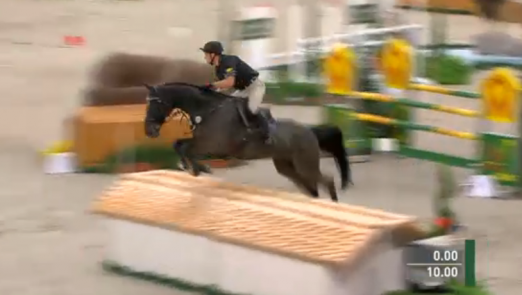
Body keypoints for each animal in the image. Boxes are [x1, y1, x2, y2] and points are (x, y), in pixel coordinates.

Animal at [143, 82, 338, 202]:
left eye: (156, 104)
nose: (149, 131)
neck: (207, 110)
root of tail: (310, 131)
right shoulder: (201, 142)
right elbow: (178, 145)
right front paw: (192, 168)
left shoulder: (213, 146)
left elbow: (185, 148)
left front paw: (198, 168)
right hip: (286, 166)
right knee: (311, 186)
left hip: (305, 164)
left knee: (326, 180)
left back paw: (334, 203)